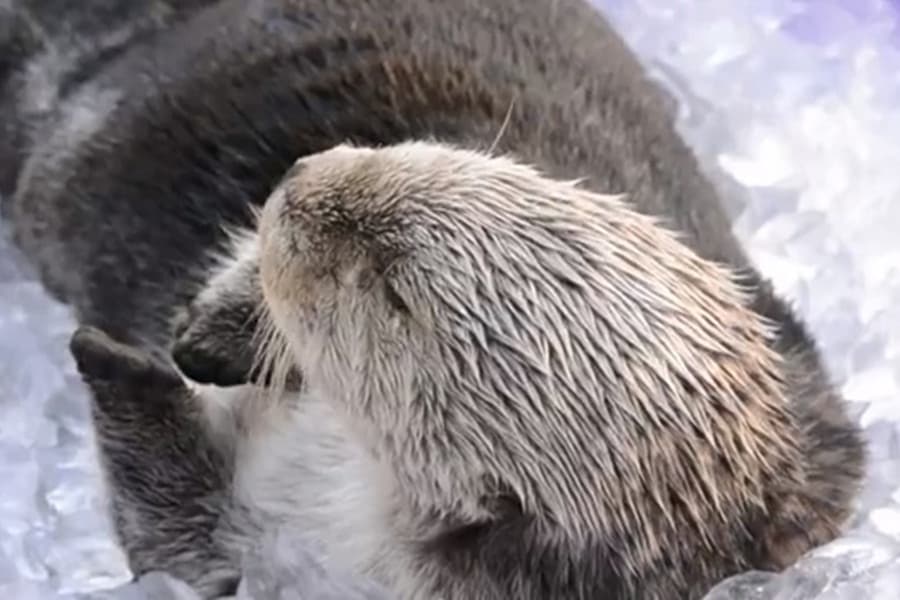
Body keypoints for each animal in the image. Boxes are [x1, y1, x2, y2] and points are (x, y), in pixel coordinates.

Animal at [4, 0, 864, 598]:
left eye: (393, 292)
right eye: (468, 169)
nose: (294, 180)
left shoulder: (289, 544)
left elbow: (175, 529)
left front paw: (107, 353)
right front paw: (220, 324)